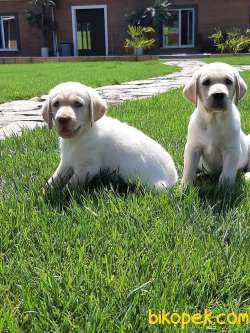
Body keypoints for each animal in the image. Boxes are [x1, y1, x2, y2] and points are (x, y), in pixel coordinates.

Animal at [41, 82, 178, 191]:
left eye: (78, 104)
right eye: (56, 104)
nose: (62, 119)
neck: (81, 135)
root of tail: (175, 178)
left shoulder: (87, 168)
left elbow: (69, 186)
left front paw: (59, 195)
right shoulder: (66, 161)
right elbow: (55, 177)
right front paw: (45, 191)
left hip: (155, 186)